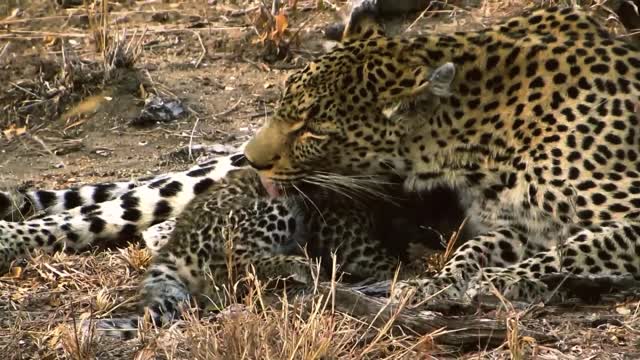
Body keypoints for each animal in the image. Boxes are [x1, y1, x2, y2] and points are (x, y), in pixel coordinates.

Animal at [242, 1, 640, 302]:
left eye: (313, 130)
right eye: (282, 99)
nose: (250, 159)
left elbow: (574, 249)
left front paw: (503, 280)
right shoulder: (521, 225)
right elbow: (476, 248)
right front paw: (441, 282)